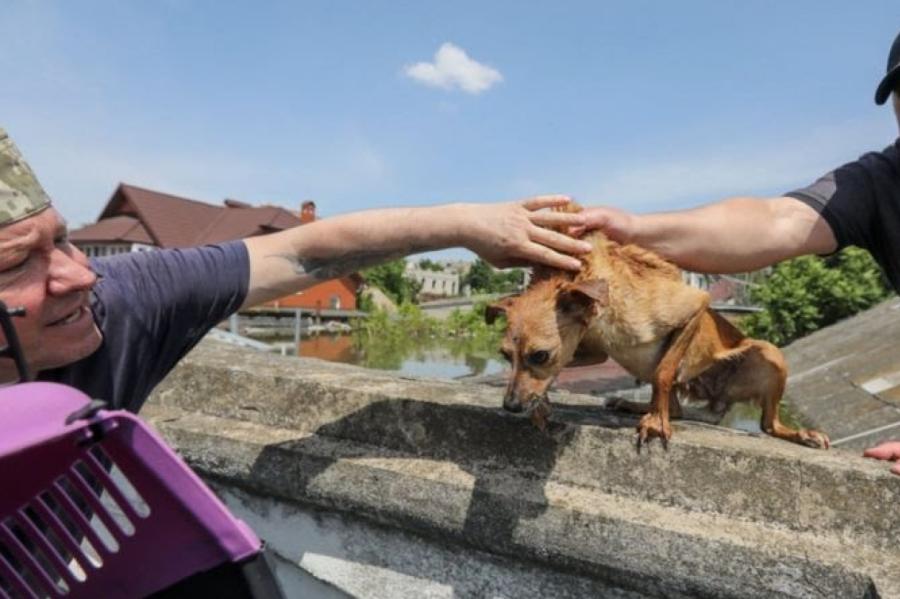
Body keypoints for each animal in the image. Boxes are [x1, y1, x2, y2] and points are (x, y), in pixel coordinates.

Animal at [486, 209, 828, 448]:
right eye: (504, 355)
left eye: (540, 355)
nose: (509, 406)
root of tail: (717, 403)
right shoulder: (592, 351)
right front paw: (541, 404)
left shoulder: (694, 306)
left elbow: (664, 373)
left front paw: (654, 424)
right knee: (676, 408)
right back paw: (633, 404)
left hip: (769, 353)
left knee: (767, 424)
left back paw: (801, 434)